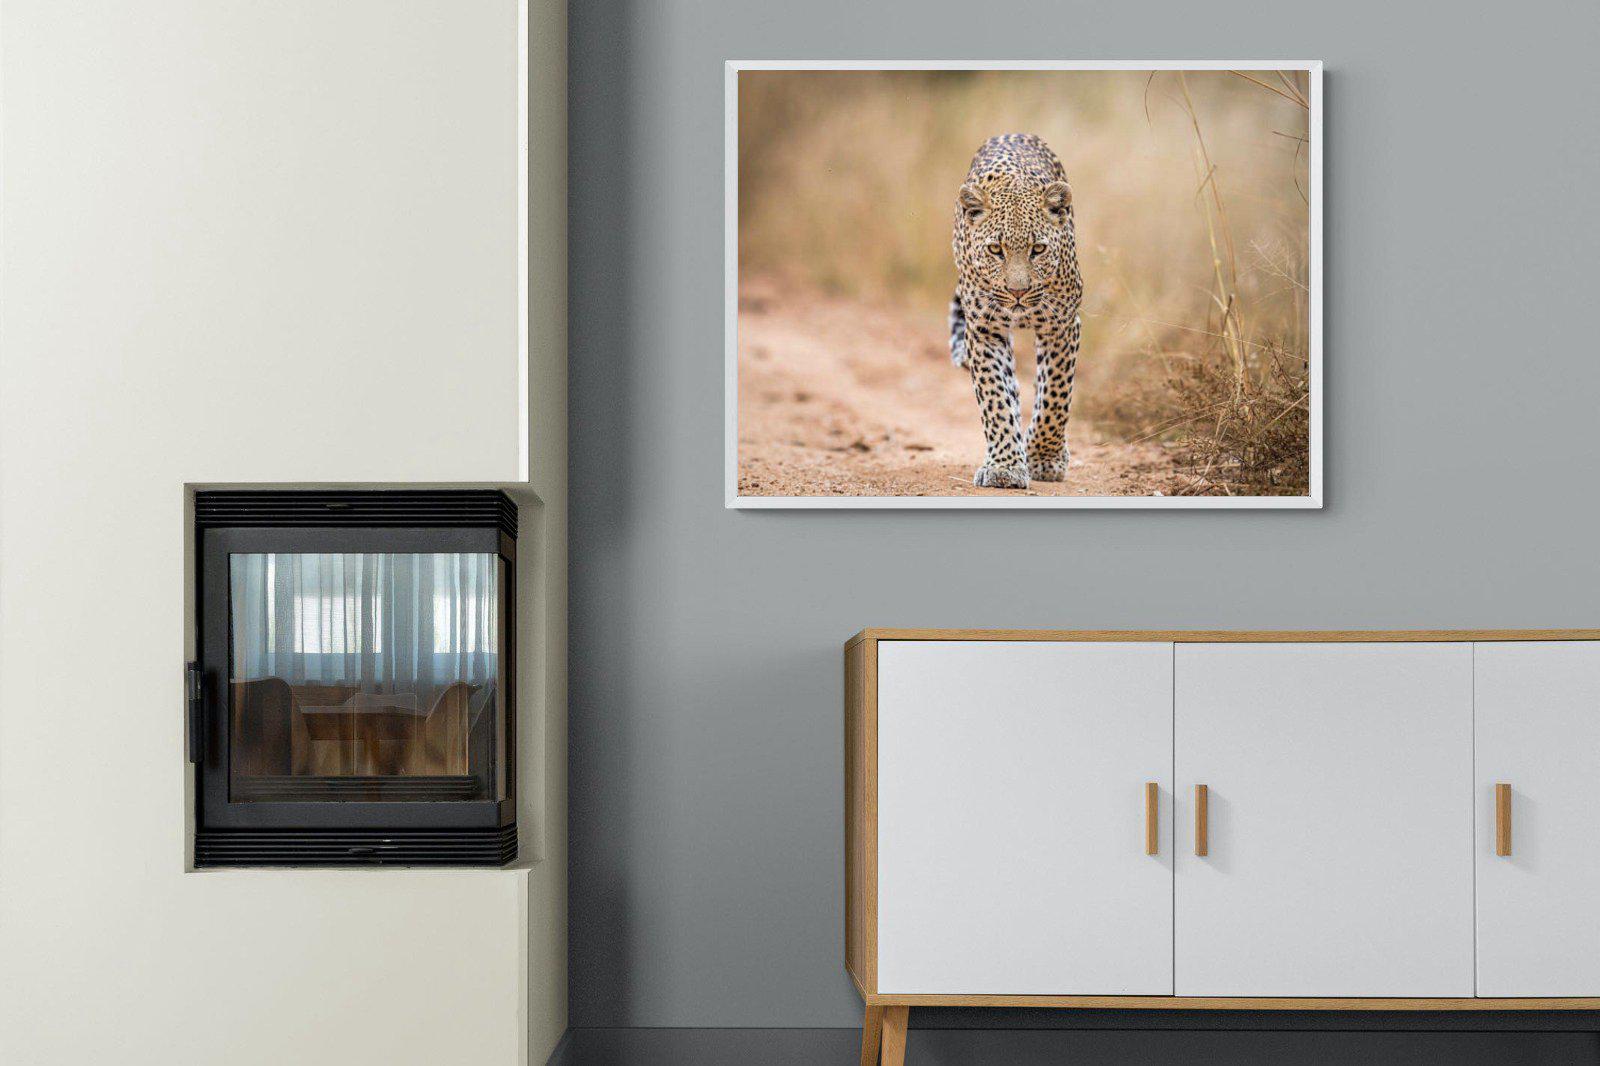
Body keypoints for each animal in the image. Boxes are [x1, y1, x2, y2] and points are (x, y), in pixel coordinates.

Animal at [948, 133, 1083, 489]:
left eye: (1038, 249)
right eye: (996, 249)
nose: (1017, 292)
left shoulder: (1062, 325)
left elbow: (1055, 396)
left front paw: (1045, 458)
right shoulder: (984, 330)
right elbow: (995, 397)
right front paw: (1005, 467)